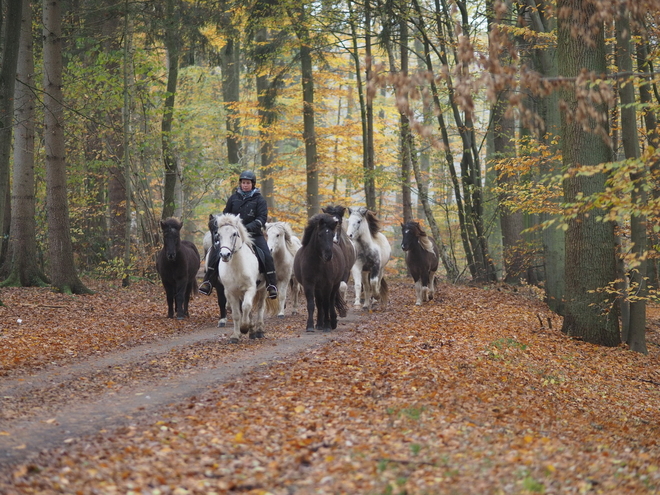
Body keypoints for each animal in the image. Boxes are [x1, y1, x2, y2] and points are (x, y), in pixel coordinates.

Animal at [209, 213, 276, 344]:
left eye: (234, 234)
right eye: (218, 234)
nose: (225, 255)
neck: (236, 267)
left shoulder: (250, 288)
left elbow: (246, 306)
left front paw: (244, 328)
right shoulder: (230, 292)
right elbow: (236, 313)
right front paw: (236, 335)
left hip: (263, 289)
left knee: (260, 307)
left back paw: (259, 330)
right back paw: (252, 330)